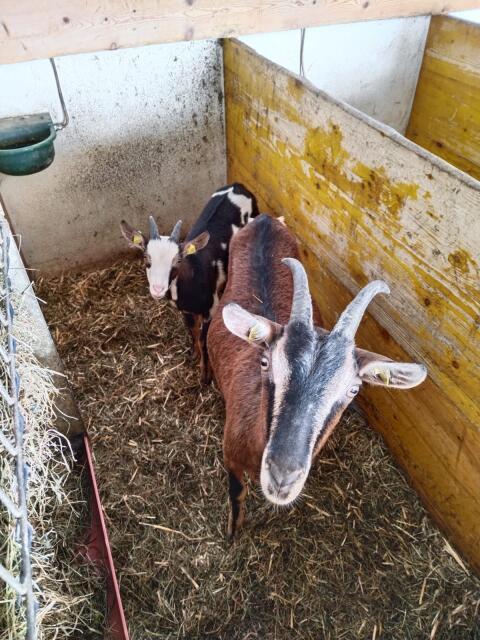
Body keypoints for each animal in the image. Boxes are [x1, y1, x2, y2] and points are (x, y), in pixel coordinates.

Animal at [121, 183, 259, 383]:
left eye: (177, 261)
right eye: (146, 258)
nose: (157, 289)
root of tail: (238, 186)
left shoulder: (211, 309)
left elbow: (204, 339)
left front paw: (205, 376)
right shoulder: (185, 310)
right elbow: (191, 330)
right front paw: (194, 354)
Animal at [207, 214, 427, 537]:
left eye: (353, 390)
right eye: (265, 362)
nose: (282, 478)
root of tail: (265, 219)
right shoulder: (230, 457)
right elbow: (237, 494)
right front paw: (233, 533)